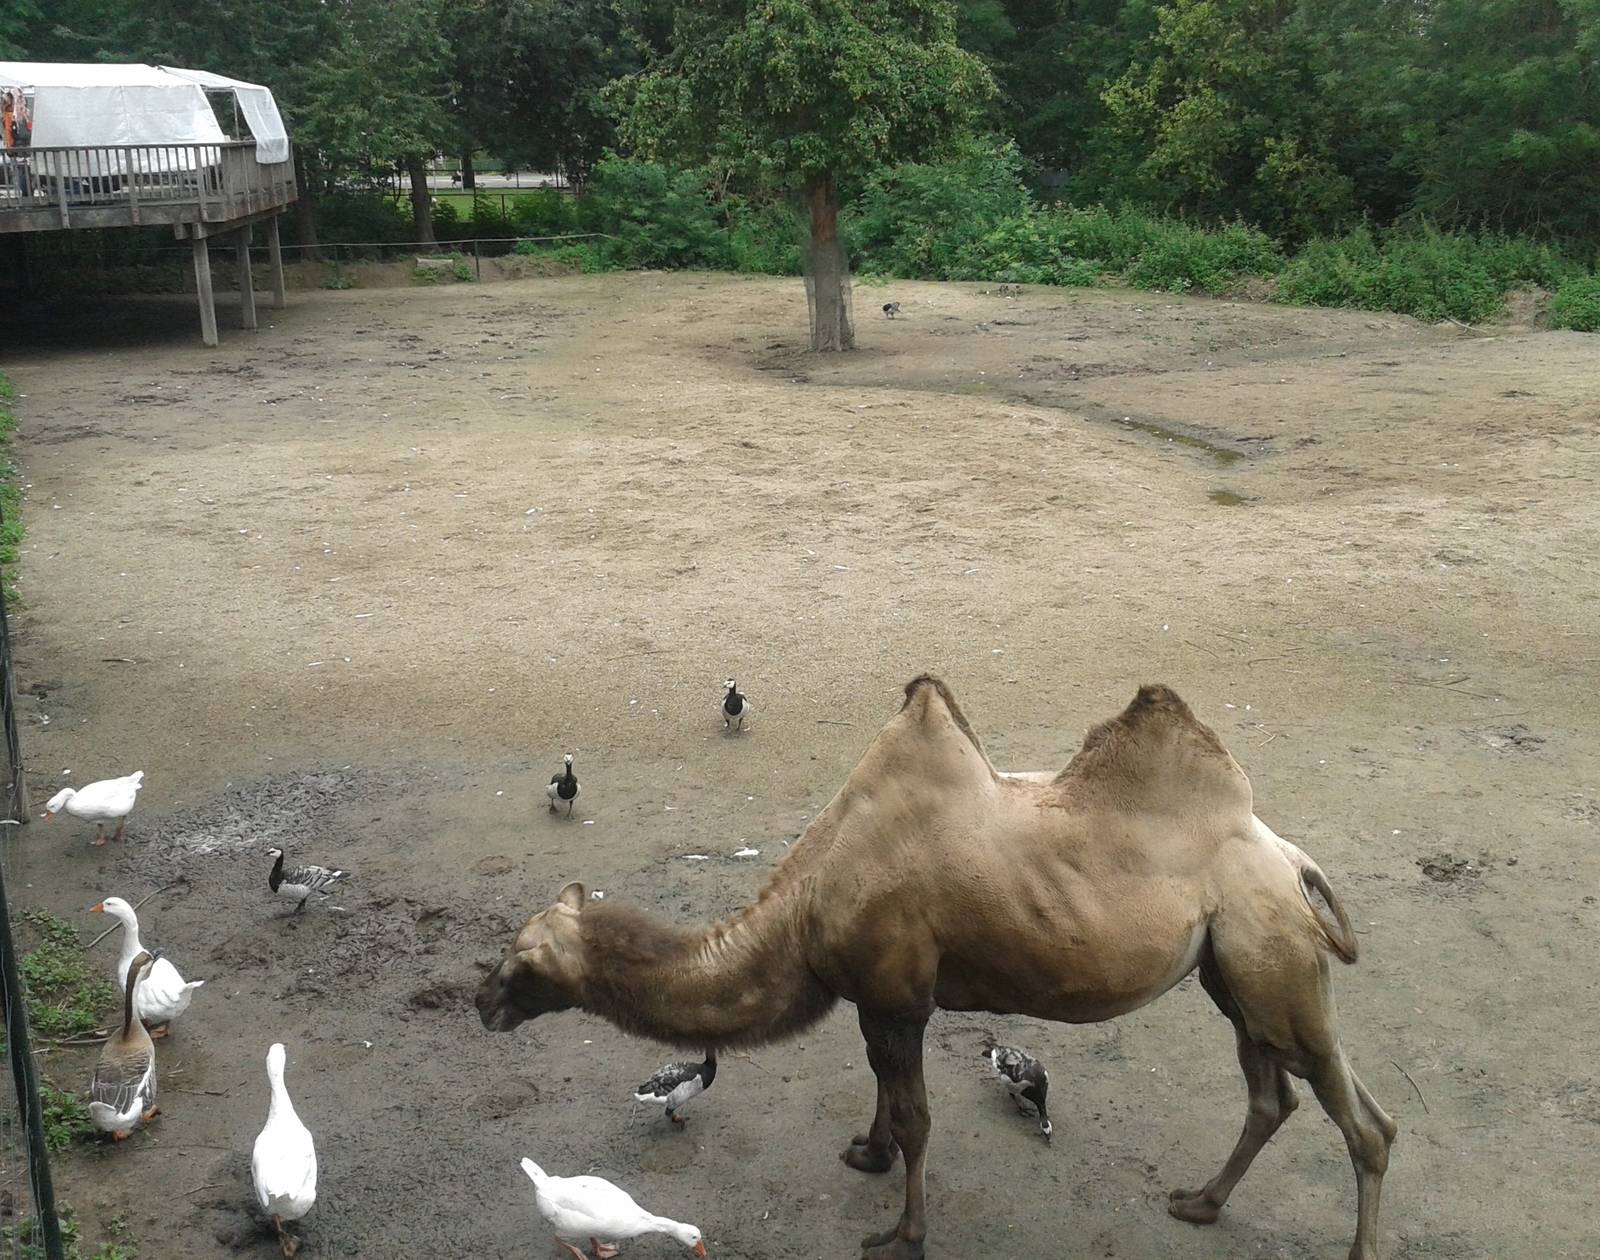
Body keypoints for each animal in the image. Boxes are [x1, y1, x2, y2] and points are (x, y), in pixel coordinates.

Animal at [477, 676, 1396, 1260]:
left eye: (520, 955)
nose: (482, 1001)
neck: (807, 902)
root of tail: (1290, 856)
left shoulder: (898, 993)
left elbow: (918, 1114)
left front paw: (900, 1236)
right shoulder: (875, 996)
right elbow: (884, 1089)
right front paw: (867, 1154)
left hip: (1269, 949)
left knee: (1362, 1126)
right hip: (1238, 970)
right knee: (1279, 1094)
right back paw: (1200, 1204)